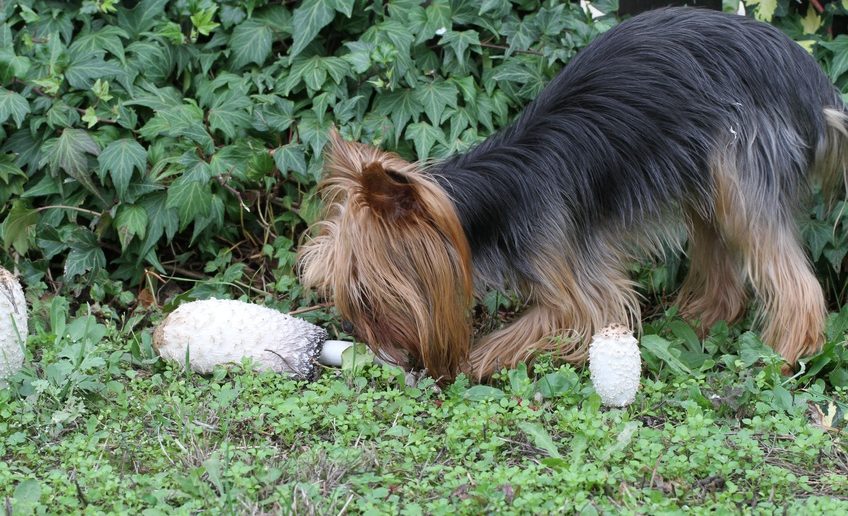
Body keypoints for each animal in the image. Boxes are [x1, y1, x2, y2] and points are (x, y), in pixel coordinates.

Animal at [298, 6, 848, 380]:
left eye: (365, 295)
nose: (361, 340)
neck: (493, 206)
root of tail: (812, 81)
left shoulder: (576, 290)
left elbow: (554, 318)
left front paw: (473, 360)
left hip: (740, 167)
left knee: (793, 278)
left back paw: (784, 355)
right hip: (702, 173)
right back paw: (695, 323)